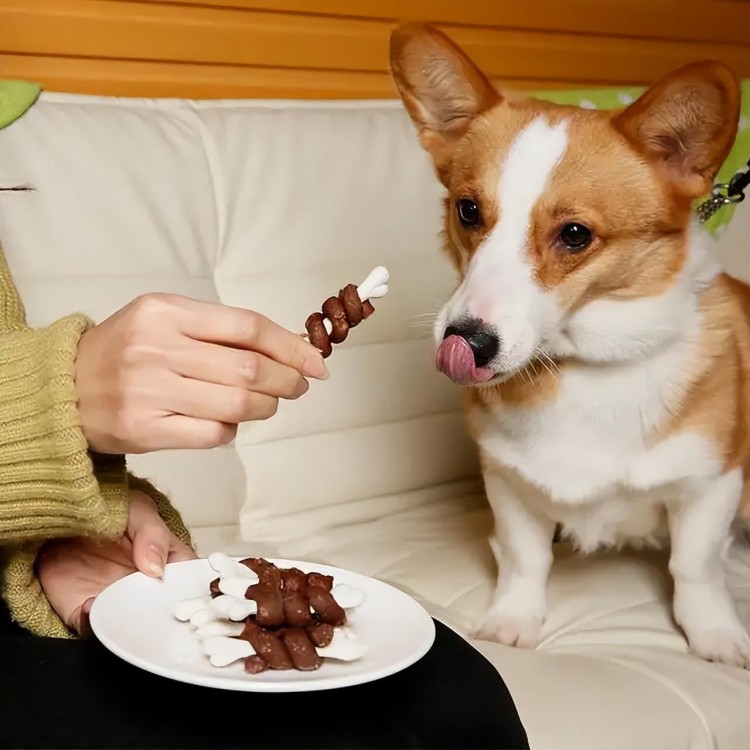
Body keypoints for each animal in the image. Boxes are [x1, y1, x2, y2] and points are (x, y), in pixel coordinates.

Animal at [390, 22, 748, 668]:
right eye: (468, 210)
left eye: (575, 234)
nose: (465, 342)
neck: (583, 366)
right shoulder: (506, 482)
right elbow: (524, 558)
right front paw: (512, 622)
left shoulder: (712, 484)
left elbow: (696, 567)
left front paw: (714, 636)